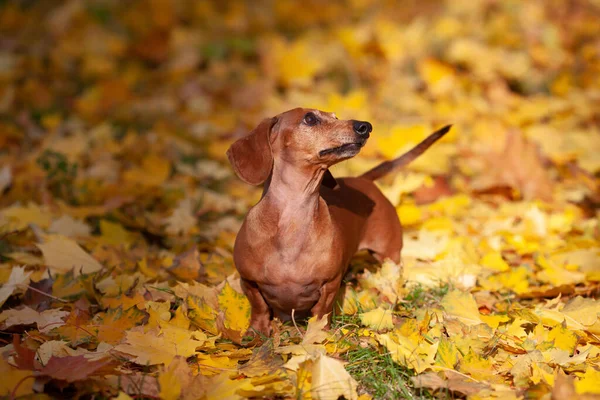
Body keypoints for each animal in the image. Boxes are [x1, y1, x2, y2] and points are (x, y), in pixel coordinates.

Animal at [226, 108, 450, 336]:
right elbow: (259, 307)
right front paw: (257, 332)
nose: (365, 126)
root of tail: (363, 179)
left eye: (335, 117)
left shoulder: (330, 283)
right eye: (309, 118)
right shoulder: (248, 281)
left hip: (389, 255)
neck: (292, 223)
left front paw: (318, 335)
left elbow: (321, 312)